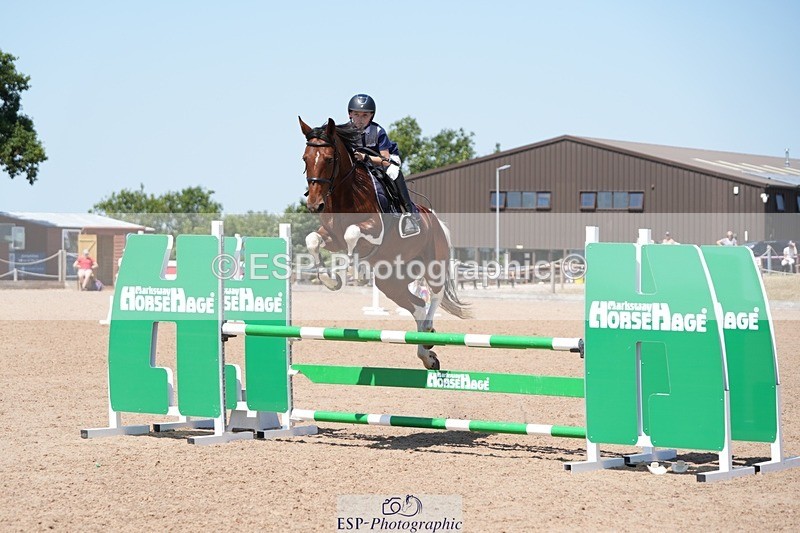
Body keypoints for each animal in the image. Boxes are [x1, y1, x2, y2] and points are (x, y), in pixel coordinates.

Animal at [299, 117, 470, 370]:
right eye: (305, 158)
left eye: (329, 159)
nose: (314, 204)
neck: (346, 194)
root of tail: (436, 220)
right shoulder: (331, 237)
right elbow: (312, 240)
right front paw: (330, 280)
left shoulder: (374, 230)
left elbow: (351, 234)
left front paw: (354, 272)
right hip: (391, 281)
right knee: (417, 305)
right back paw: (427, 353)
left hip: (434, 263)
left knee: (435, 294)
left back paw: (429, 330)